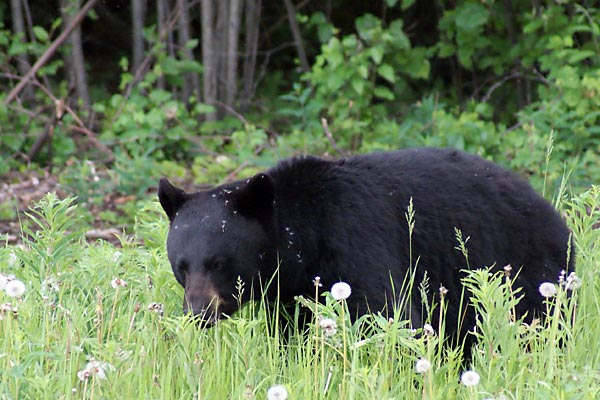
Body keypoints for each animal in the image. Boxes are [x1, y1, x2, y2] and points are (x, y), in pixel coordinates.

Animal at [158, 148, 572, 340]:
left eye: (217, 263)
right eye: (182, 266)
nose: (197, 312)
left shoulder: (355, 243)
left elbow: (387, 316)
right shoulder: (293, 293)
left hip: (526, 270)